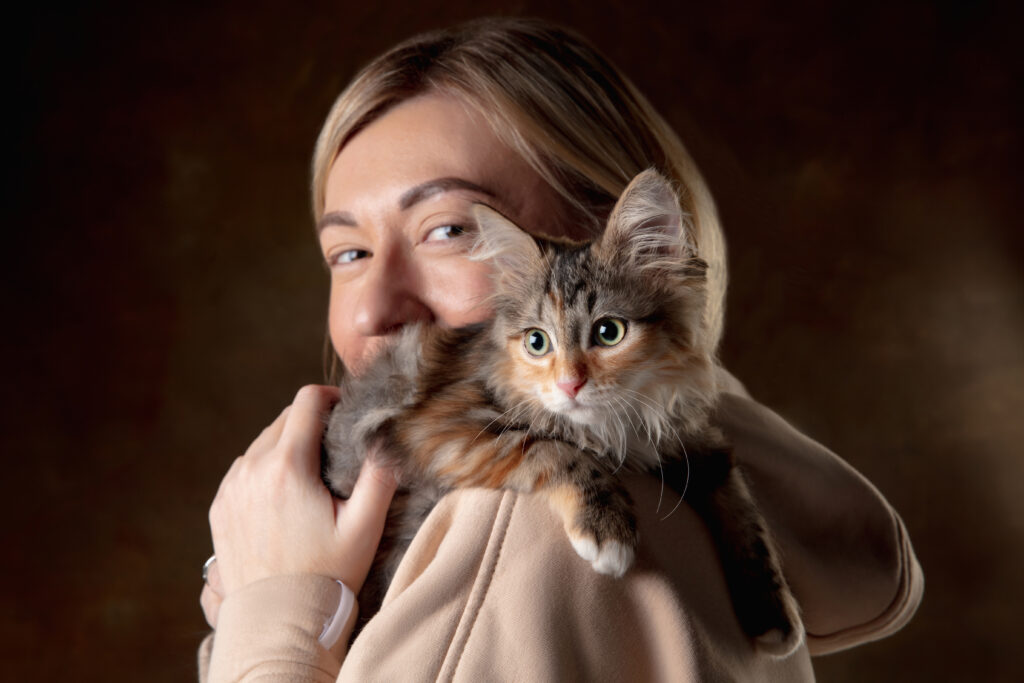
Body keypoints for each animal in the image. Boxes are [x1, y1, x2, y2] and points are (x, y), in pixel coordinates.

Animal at [323, 167, 802, 655]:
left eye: (609, 332)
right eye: (538, 342)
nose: (569, 384)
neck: (616, 428)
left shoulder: (695, 443)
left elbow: (745, 513)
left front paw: (773, 612)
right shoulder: (440, 427)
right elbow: (559, 450)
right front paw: (608, 530)